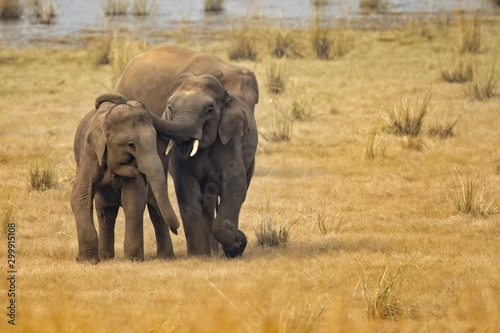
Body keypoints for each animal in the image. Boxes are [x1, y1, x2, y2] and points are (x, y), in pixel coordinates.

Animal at [71, 91, 199, 262]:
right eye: (131, 145)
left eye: (154, 140)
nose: (177, 230)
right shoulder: (89, 154)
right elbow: (80, 196)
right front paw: (88, 261)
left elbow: (134, 199)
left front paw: (133, 260)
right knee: (105, 211)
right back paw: (106, 258)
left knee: (156, 208)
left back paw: (166, 257)